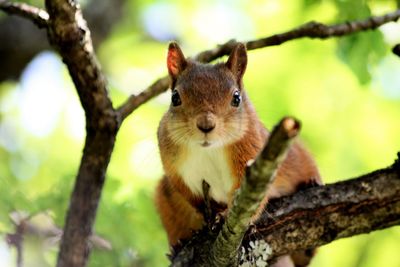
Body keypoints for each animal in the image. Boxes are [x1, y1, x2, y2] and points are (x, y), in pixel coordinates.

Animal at [154, 42, 322, 267]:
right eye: (175, 97)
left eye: (236, 98)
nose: (206, 125)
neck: (209, 149)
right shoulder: (173, 168)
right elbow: (190, 195)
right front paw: (212, 214)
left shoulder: (252, 154)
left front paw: (225, 217)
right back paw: (179, 245)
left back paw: (310, 184)